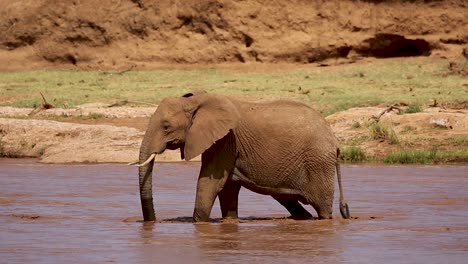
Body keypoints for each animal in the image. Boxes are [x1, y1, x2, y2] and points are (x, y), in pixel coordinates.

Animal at [133, 91, 350, 223]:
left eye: (166, 126)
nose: (153, 221)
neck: (197, 100)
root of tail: (334, 140)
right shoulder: (223, 142)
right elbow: (227, 187)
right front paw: (229, 223)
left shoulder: (226, 139)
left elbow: (209, 183)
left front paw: (198, 224)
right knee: (286, 199)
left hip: (318, 162)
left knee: (321, 207)